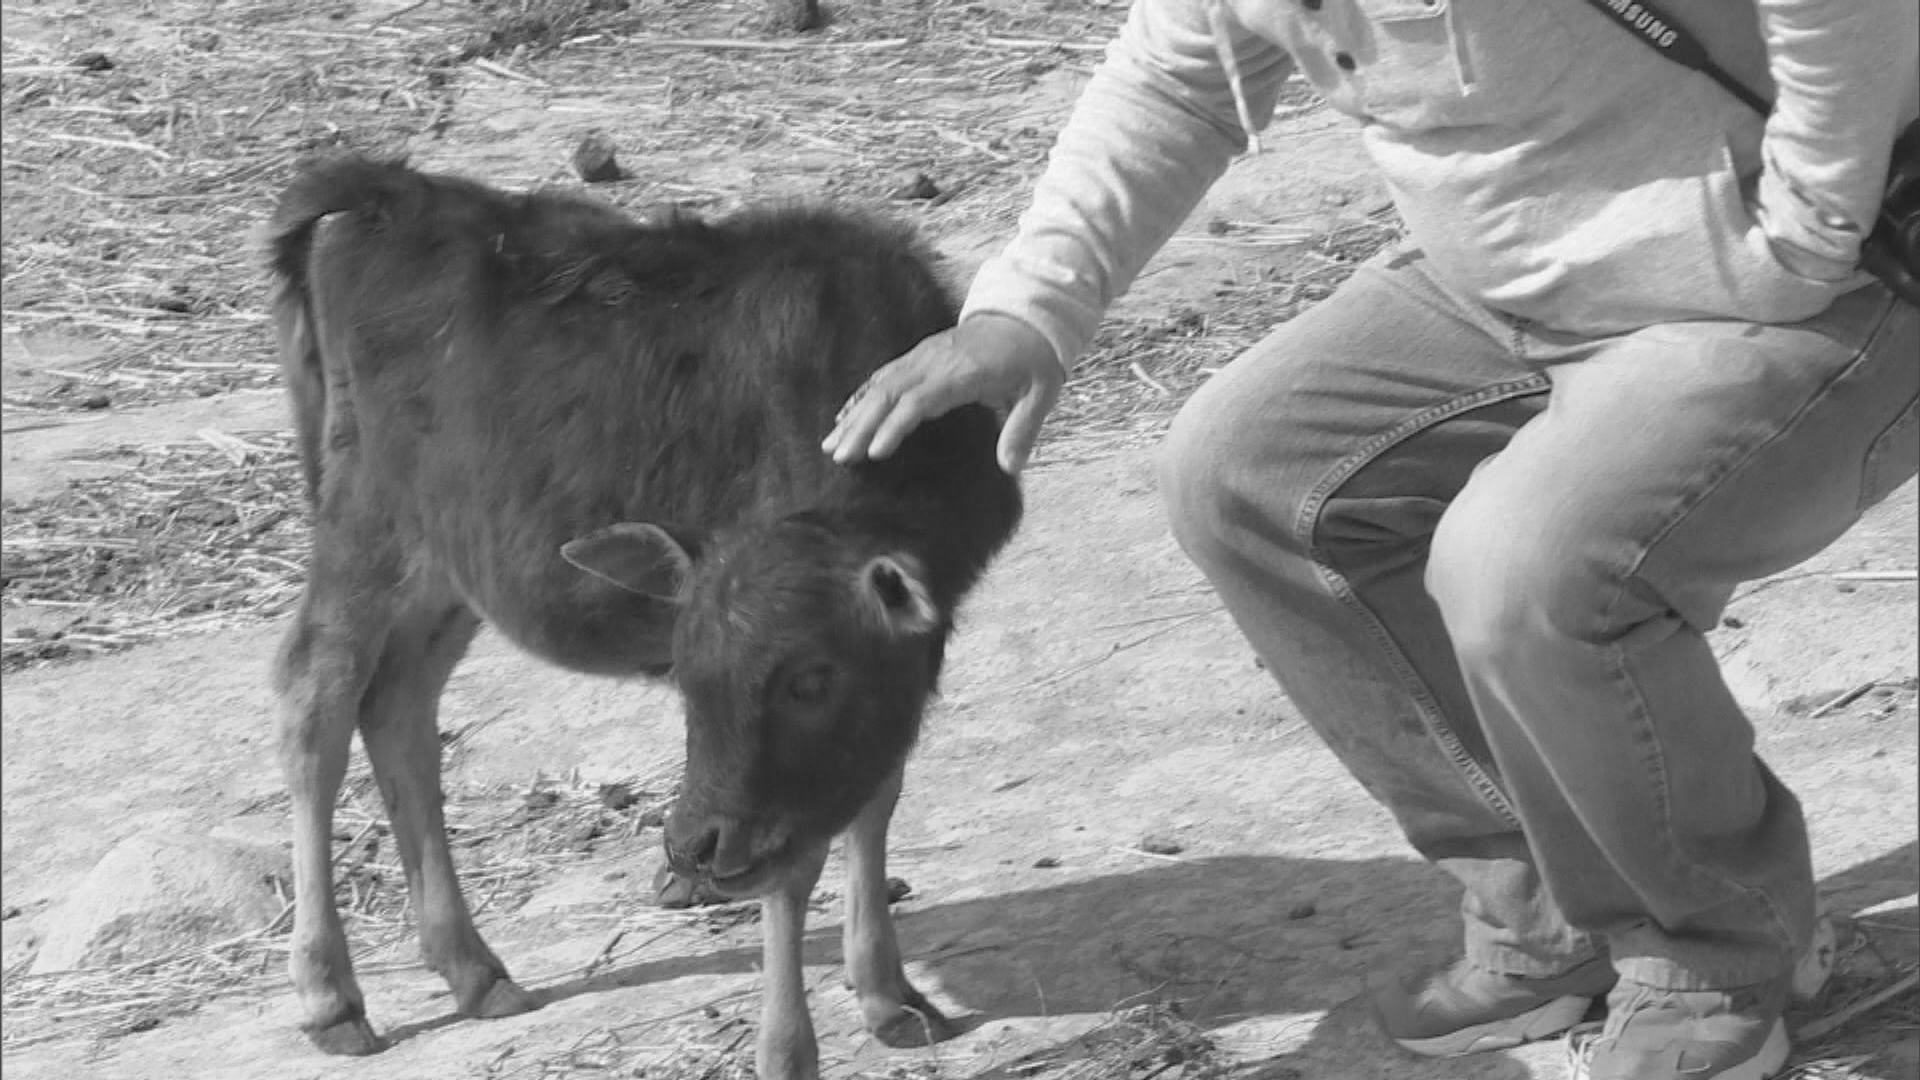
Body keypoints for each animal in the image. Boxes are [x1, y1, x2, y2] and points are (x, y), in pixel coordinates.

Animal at [274, 153, 1021, 1076]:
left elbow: (869, 798)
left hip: (446, 567)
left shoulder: (896, 671)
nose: (691, 845)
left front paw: (887, 994)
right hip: (366, 527)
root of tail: (379, 192)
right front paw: (788, 1046)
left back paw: (472, 969)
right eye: (689, 676)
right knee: (316, 702)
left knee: (399, 710)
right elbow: (792, 860)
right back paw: (329, 992)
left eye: (810, 680)